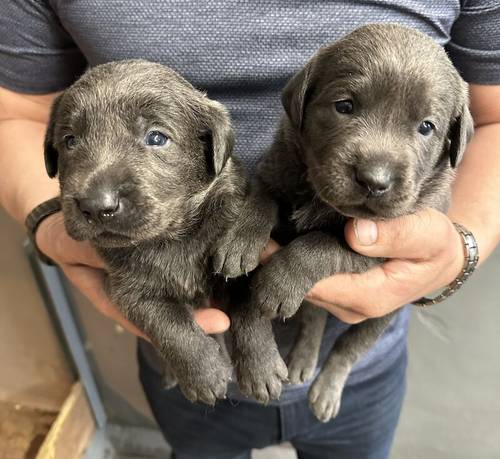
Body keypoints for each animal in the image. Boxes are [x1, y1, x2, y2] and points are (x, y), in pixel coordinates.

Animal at [45, 60, 288, 406]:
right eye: (69, 141)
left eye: (157, 138)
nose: (96, 205)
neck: (174, 236)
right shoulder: (127, 289)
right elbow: (168, 325)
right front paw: (204, 373)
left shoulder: (238, 265)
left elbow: (248, 310)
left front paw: (261, 368)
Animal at [226, 23, 472, 422]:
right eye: (344, 106)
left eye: (426, 127)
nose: (374, 179)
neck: (321, 200)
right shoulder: (276, 168)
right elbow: (261, 200)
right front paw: (240, 238)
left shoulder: (381, 247)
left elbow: (319, 245)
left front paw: (278, 282)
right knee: (313, 318)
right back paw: (303, 360)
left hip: (386, 312)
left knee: (348, 346)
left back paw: (326, 388)